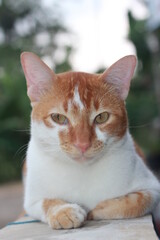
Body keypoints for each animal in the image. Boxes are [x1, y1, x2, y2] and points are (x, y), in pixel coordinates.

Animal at [21, 52, 160, 229]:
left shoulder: (153, 188)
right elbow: (46, 202)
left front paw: (99, 209)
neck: (81, 172)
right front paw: (64, 211)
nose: (82, 144)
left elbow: (136, 201)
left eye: (102, 117)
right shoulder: (31, 202)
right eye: (58, 117)